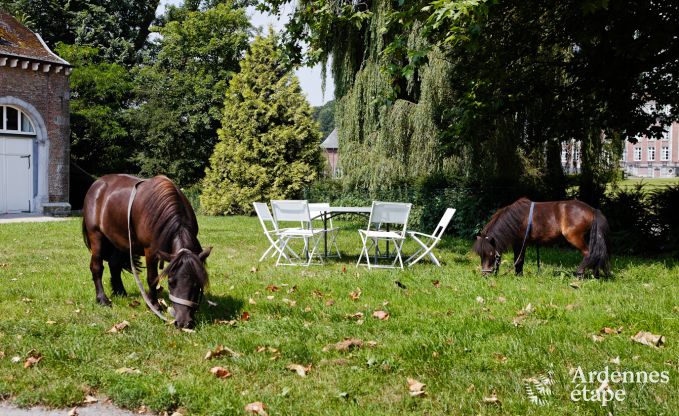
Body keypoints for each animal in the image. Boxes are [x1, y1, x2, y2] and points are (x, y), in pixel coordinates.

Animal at [82, 173, 211, 328]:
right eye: (171, 282)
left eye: (197, 284)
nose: (183, 322)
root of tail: (97, 183)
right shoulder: (151, 251)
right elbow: (152, 278)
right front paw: (154, 305)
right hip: (96, 236)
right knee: (97, 267)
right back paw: (102, 299)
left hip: (120, 239)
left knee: (114, 264)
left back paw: (121, 292)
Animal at [472, 197, 612, 276]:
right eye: (480, 255)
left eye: (490, 254)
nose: (485, 275)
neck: (517, 219)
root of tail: (592, 210)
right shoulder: (518, 243)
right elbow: (518, 259)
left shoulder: (521, 243)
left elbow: (519, 260)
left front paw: (519, 275)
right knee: (596, 254)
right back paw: (597, 275)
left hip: (575, 237)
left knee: (588, 254)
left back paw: (580, 274)